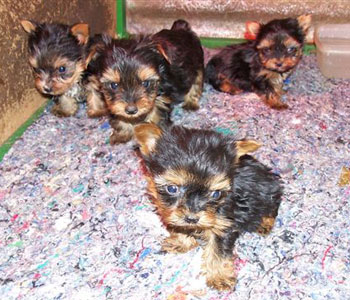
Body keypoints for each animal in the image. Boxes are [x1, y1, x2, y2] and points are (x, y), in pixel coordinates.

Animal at [134, 123, 284, 290]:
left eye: (215, 194)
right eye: (172, 189)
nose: (192, 219)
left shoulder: (223, 222)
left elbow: (218, 249)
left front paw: (220, 276)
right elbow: (182, 227)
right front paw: (181, 242)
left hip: (268, 192)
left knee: (272, 206)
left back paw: (264, 223)